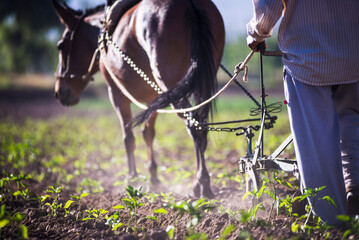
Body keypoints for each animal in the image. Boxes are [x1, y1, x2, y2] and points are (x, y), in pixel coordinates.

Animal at [52, 0, 225, 198]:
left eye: (60, 46)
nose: (59, 92)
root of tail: (189, 4)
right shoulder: (155, 97)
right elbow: (148, 134)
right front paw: (154, 178)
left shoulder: (116, 93)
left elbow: (128, 137)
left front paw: (132, 179)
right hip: (200, 83)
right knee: (201, 125)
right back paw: (201, 182)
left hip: (169, 82)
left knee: (193, 124)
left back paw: (202, 182)